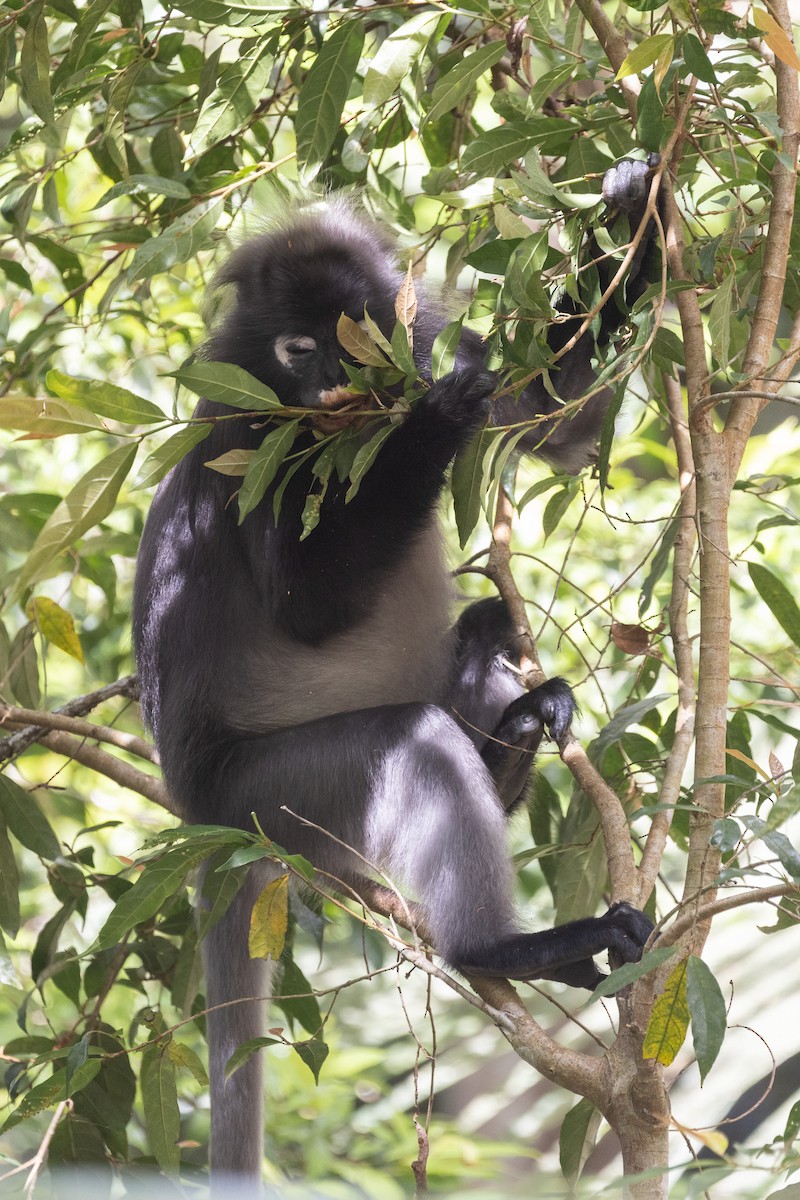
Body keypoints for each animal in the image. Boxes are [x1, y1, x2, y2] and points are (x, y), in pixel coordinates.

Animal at [132, 157, 659, 1179]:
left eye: (356, 338)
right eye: (298, 348)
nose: (337, 384)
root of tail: (200, 821)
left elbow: (559, 419)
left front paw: (633, 220)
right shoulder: (250, 429)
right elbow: (309, 607)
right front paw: (438, 416)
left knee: (480, 646)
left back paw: (515, 733)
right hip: (275, 801)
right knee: (409, 740)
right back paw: (503, 948)